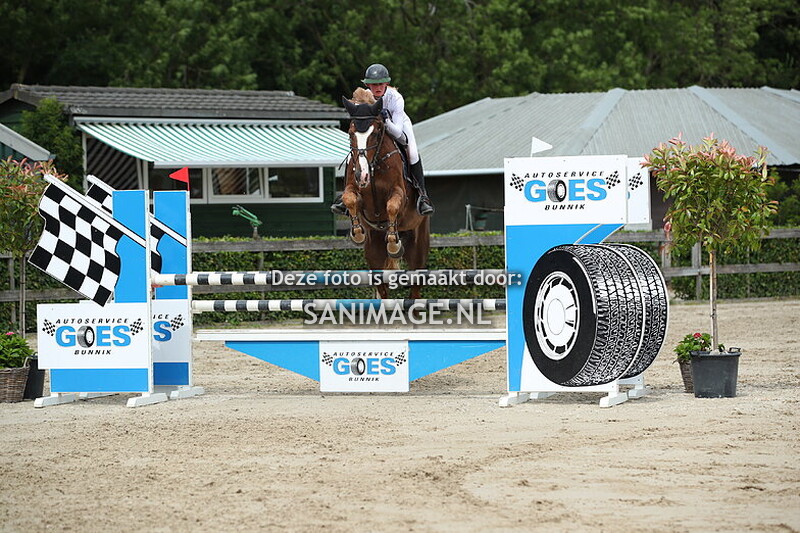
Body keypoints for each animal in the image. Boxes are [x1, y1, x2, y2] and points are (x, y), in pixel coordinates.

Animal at [341, 88, 430, 299]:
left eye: (375, 133)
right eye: (350, 133)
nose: (362, 175)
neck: (373, 166)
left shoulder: (400, 195)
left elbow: (392, 206)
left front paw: (393, 243)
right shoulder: (355, 189)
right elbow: (349, 199)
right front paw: (357, 233)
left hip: (418, 248)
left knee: (415, 284)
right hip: (374, 253)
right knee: (381, 285)